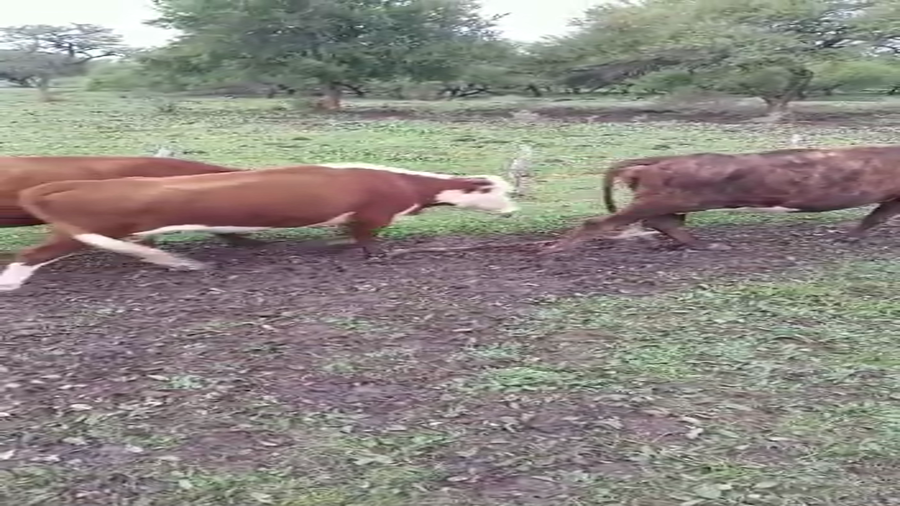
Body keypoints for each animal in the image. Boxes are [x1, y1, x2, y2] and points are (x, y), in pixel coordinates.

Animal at [541, 145, 900, 254]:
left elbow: (875, 216)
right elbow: (877, 216)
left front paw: (847, 238)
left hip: (669, 201)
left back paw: (705, 245)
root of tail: (653, 162)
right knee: (599, 222)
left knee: (664, 222)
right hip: (661, 198)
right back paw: (554, 251)